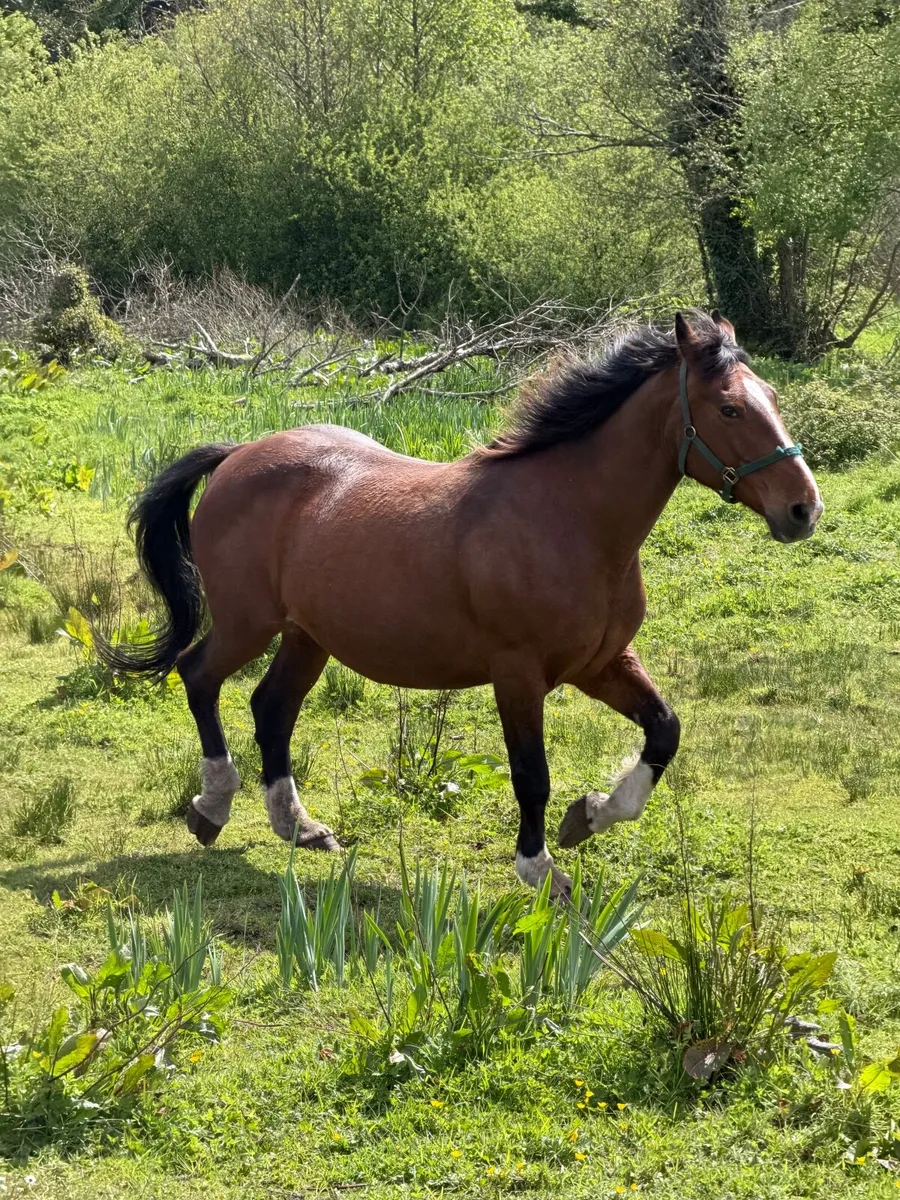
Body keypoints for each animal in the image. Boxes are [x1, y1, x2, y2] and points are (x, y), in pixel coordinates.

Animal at [102, 310, 822, 896]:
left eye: (772, 398)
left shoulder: (602, 663)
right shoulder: (518, 673)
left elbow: (664, 730)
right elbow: (531, 773)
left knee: (271, 707)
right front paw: (540, 869)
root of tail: (237, 455)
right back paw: (212, 808)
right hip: (248, 623)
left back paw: (300, 827)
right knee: (199, 675)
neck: (572, 520)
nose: (803, 509)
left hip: (309, 636)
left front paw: (589, 816)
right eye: (728, 409)